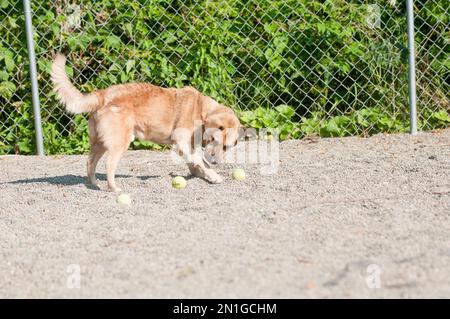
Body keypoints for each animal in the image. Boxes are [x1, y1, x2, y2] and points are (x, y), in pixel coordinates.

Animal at [50, 54, 241, 192]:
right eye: (215, 140)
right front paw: (213, 175)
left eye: (227, 147)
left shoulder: (188, 146)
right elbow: (199, 160)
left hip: (100, 142)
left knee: (90, 162)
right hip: (120, 143)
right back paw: (113, 188)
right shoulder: (180, 140)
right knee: (108, 164)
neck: (201, 110)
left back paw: (94, 185)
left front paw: (202, 175)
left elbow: (195, 162)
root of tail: (103, 94)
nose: (216, 163)